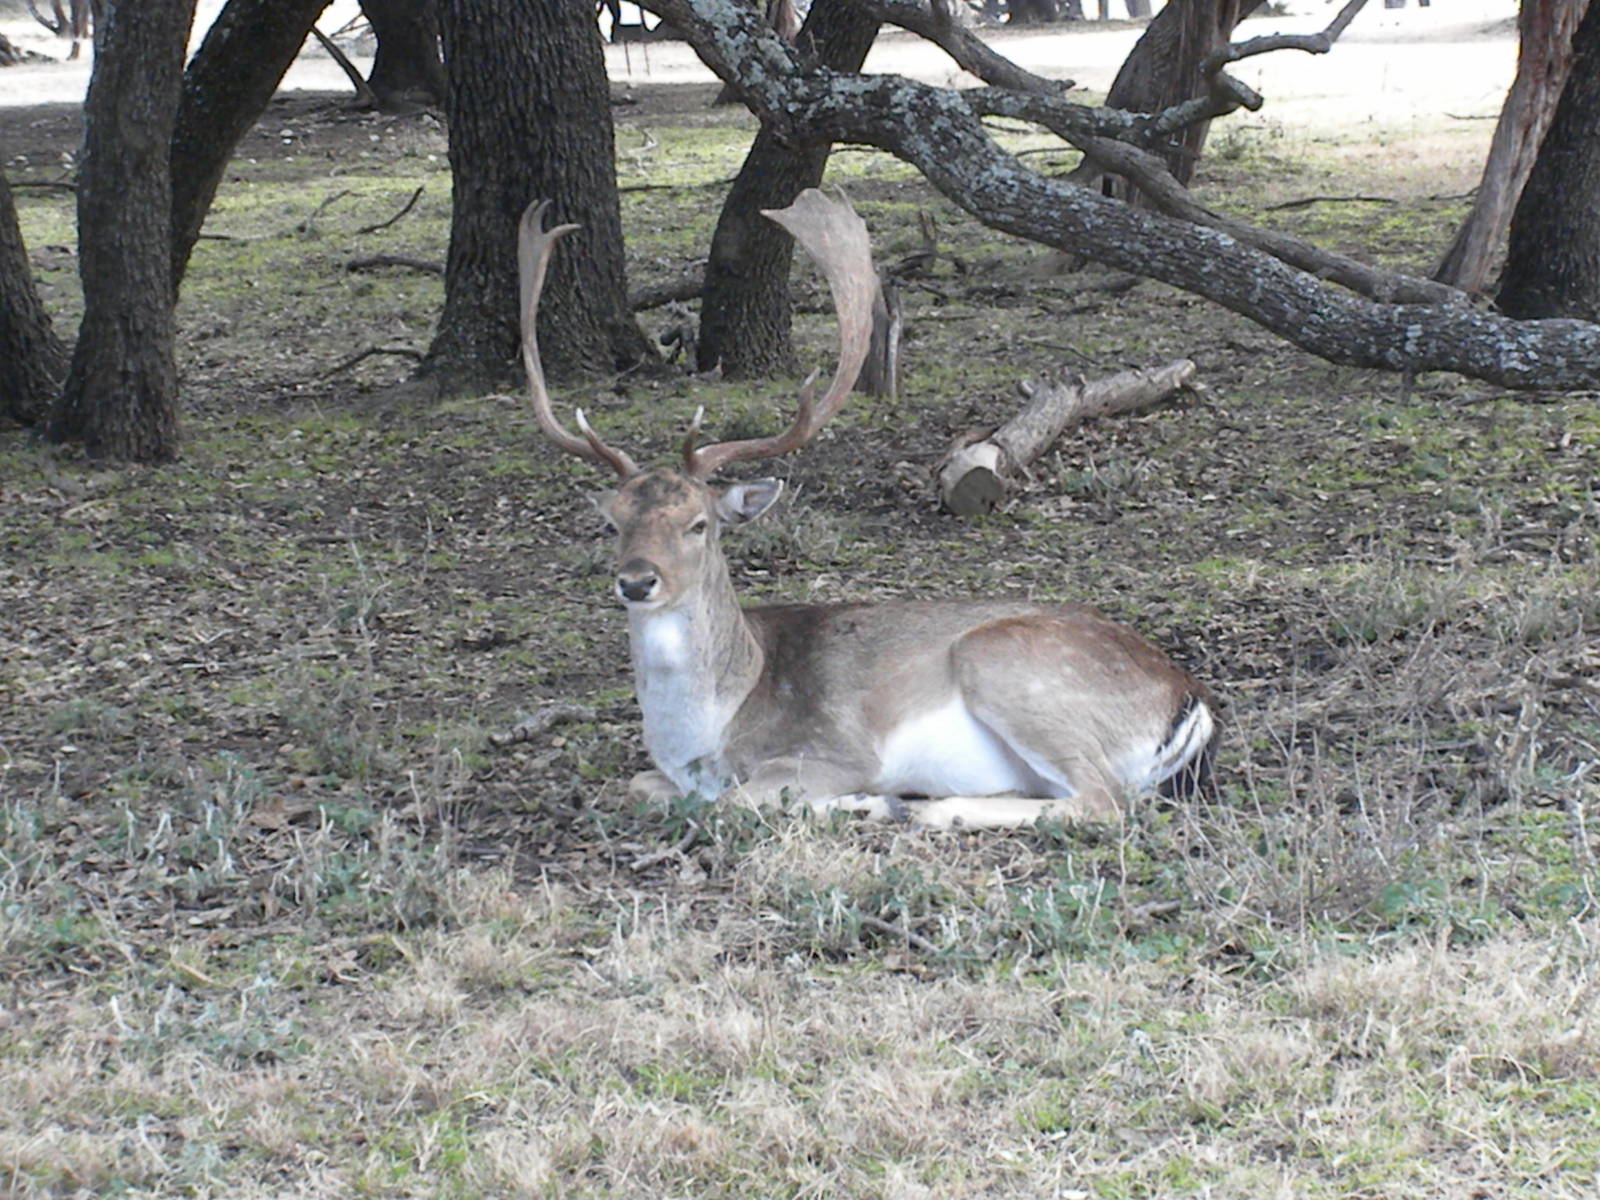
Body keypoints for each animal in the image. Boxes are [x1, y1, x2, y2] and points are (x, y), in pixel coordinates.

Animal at [518, 189, 1217, 830]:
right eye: (613, 523)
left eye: (699, 524)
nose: (637, 581)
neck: (707, 733)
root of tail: (1190, 701)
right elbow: (638, 785)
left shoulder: (836, 749)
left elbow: (736, 802)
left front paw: (866, 800)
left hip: (1010, 667)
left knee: (1105, 802)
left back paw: (926, 809)